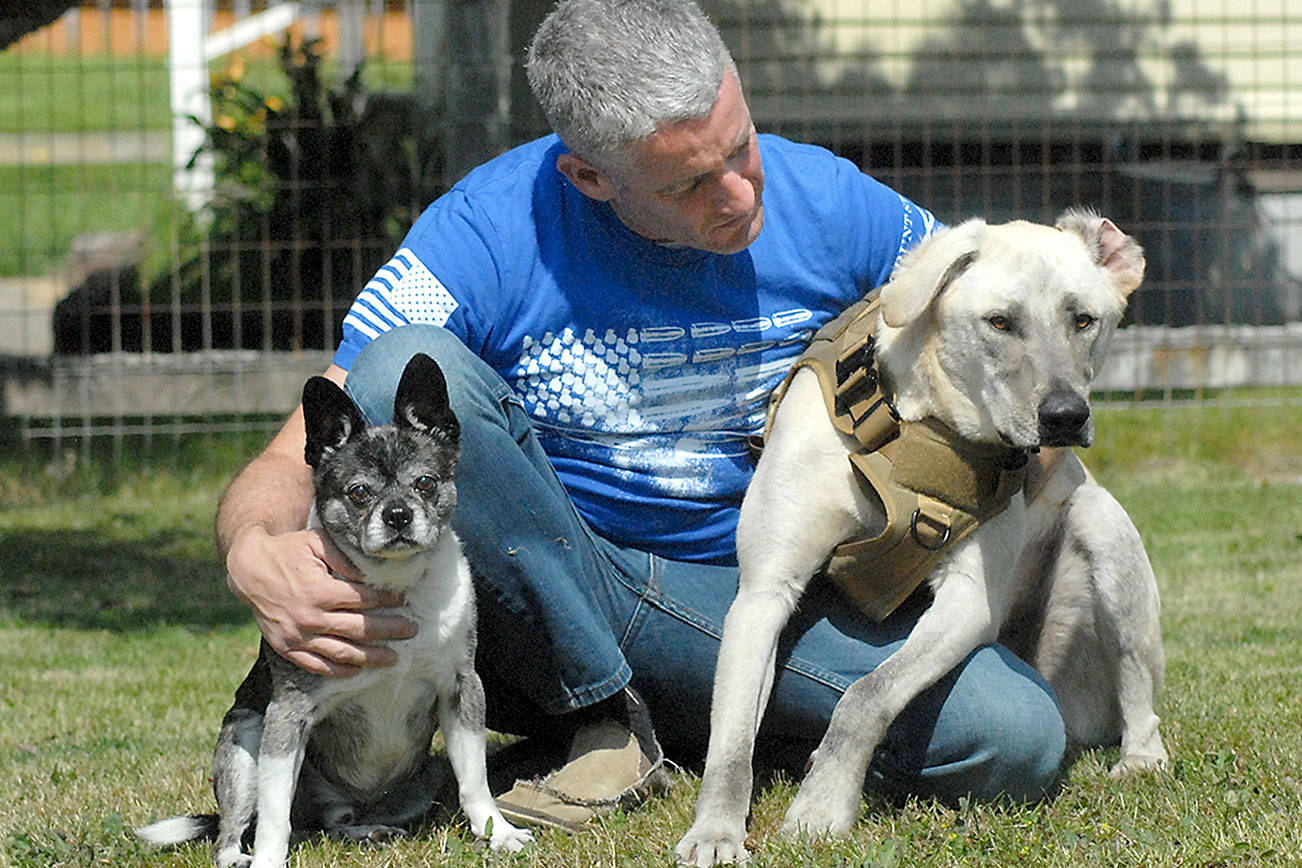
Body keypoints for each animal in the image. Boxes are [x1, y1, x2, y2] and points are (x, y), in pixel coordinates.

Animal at [137, 353, 528, 868]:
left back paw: (369, 829)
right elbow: (275, 816)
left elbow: (475, 780)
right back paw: (239, 855)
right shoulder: (286, 718)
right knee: (236, 828)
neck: (395, 585)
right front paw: (268, 860)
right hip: (245, 744)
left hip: (419, 780)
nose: (398, 514)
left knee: (337, 823)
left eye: (425, 483)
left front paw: (496, 833)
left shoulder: (461, 692)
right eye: (359, 492)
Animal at [677, 210, 1166, 868]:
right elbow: (729, 741)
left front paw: (822, 805)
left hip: (1107, 543)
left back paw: (1141, 756)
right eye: (1000, 322)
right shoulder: (763, 591)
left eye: (1083, 319)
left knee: (1137, 683)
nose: (1066, 416)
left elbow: (866, 695)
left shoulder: (969, 603)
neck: (919, 427)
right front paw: (716, 831)